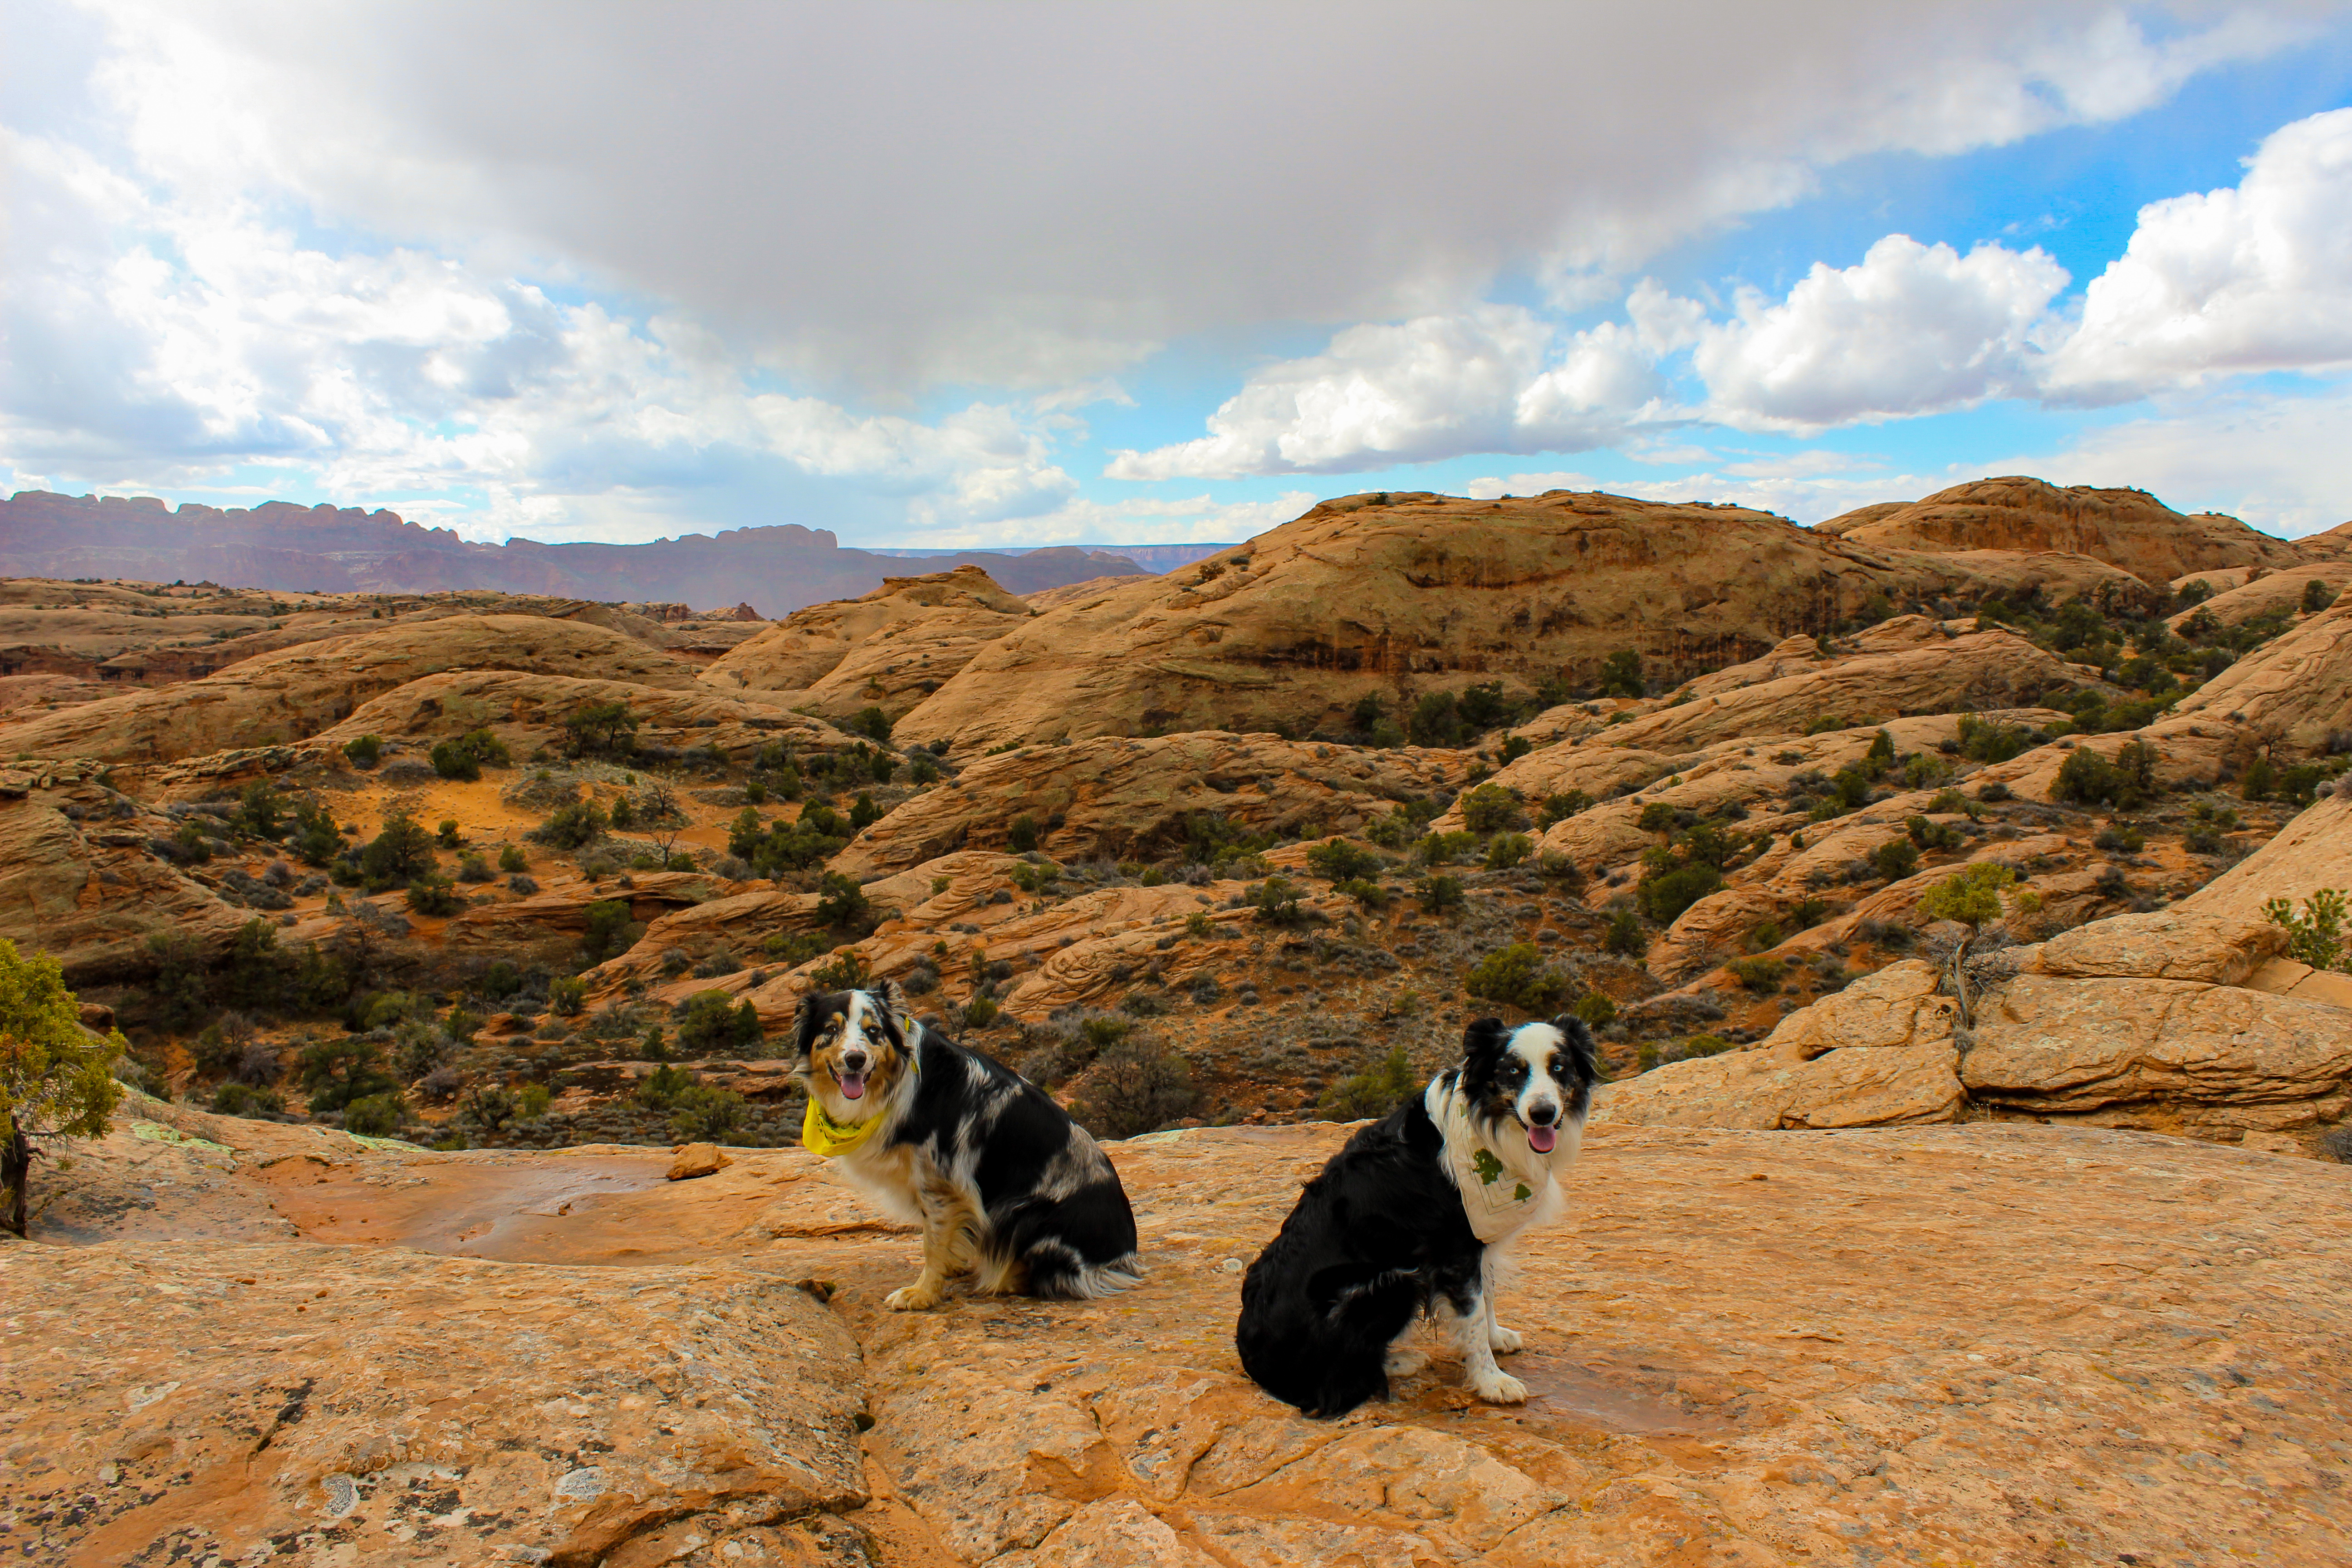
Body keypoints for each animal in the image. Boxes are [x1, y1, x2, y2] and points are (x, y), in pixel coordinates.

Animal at [795, 982, 1143, 1316]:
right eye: (831, 1029)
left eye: (873, 1031)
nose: (855, 1060)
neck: (896, 1083)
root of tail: (1123, 1257)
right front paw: (950, 1266)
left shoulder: (940, 1179)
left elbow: (932, 1241)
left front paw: (921, 1294)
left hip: (1020, 1213)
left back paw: (1003, 1277)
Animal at [1232, 1020, 1599, 1420]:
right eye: (1513, 1071)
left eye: (1559, 1067)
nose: (1543, 1113)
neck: (1485, 1129)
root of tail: (1253, 1361)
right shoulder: (1455, 1249)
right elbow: (1472, 1314)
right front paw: (1492, 1382)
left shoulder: (1478, 1244)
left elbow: (1486, 1297)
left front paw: (1496, 1338)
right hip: (1391, 1283)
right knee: (1344, 1374)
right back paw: (1401, 1361)